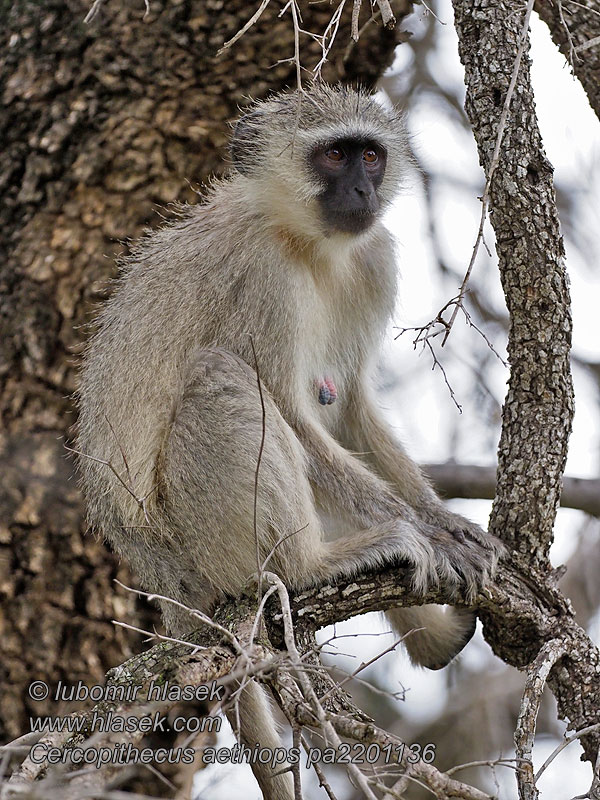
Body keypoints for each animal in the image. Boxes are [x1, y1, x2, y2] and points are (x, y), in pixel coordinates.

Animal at [78, 83, 502, 800]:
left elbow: (350, 407)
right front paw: (434, 534)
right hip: (202, 542)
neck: (310, 245)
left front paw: (443, 519)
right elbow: (291, 412)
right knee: (221, 377)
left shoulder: (375, 258)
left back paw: (430, 641)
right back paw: (317, 564)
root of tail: (159, 571)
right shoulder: (264, 276)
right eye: (333, 155)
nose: (360, 190)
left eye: (369, 155)